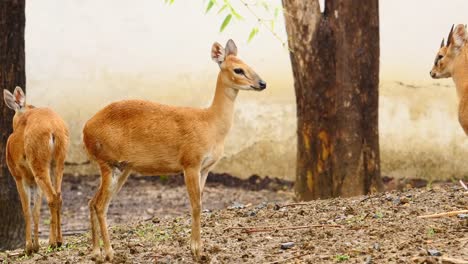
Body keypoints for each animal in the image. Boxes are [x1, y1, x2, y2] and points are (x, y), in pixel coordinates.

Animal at [2, 86, 70, 254]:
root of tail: (54, 129)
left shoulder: (18, 176)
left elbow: (26, 210)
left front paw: (28, 247)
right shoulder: (33, 182)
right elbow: (36, 211)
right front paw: (36, 245)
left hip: (38, 161)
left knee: (52, 197)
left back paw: (52, 242)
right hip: (59, 161)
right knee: (59, 196)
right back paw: (59, 241)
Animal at [83, 39, 266, 262]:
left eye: (248, 63)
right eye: (238, 69)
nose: (262, 83)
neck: (210, 124)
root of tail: (85, 130)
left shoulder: (205, 168)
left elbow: (200, 203)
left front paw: (196, 248)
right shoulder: (190, 162)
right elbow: (196, 206)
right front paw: (197, 250)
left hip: (123, 168)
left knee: (93, 201)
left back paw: (96, 252)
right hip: (108, 163)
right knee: (100, 205)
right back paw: (109, 253)